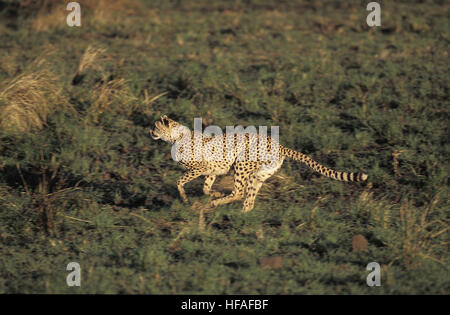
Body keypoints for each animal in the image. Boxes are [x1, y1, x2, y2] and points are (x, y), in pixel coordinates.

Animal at [149, 115, 368, 214]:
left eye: (155, 126)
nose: (149, 131)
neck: (176, 137)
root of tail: (279, 144)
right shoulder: (212, 170)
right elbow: (205, 187)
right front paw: (215, 193)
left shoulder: (200, 168)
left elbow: (180, 181)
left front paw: (187, 198)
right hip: (258, 174)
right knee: (249, 200)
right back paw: (241, 216)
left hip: (241, 165)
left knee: (239, 192)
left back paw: (219, 205)